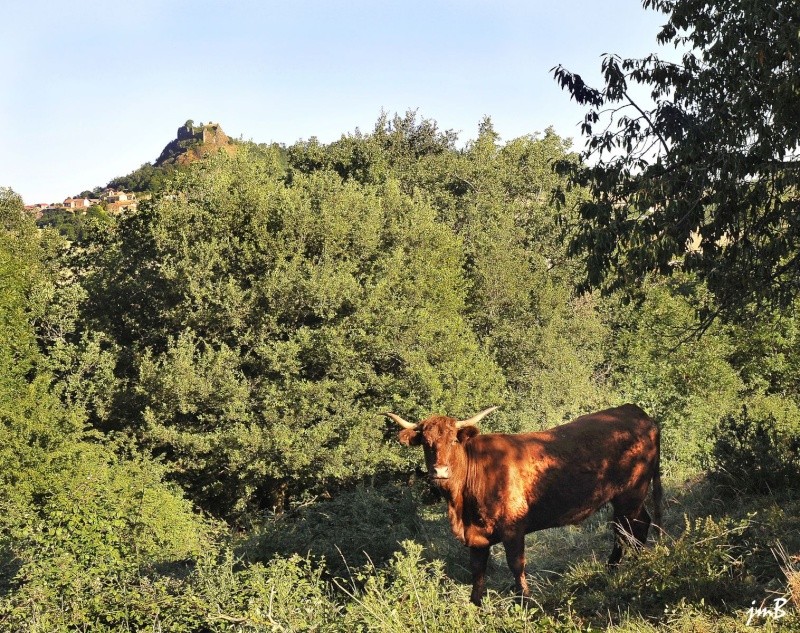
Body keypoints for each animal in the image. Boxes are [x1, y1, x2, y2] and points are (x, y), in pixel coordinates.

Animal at [388, 402, 664, 604]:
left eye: (454, 440)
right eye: (426, 443)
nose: (440, 471)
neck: (461, 506)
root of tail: (635, 411)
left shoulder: (513, 529)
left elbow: (516, 565)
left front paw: (526, 601)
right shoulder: (476, 537)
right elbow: (477, 571)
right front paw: (475, 605)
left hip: (630, 495)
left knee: (628, 531)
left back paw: (621, 568)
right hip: (627, 498)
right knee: (635, 526)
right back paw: (629, 565)